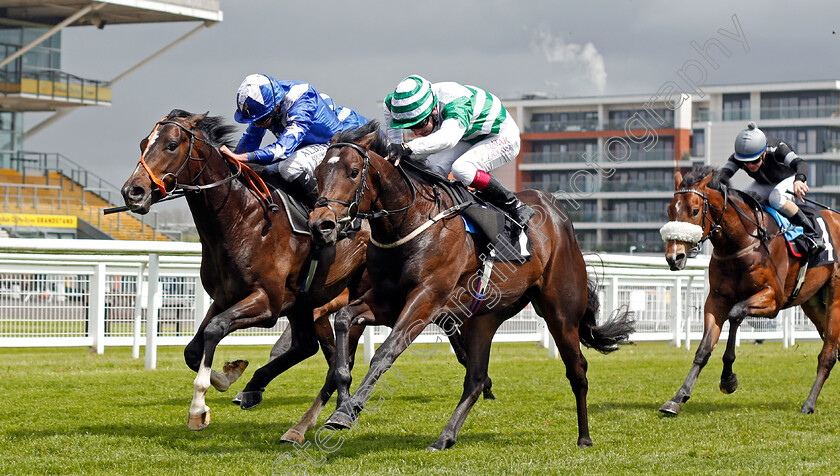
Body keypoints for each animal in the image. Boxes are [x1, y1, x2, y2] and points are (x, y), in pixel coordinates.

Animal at [306, 122, 632, 450]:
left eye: (353, 171)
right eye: (318, 172)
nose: (321, 224)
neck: (411, 221)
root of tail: (558, 214)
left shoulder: (426, 298)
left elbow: (386, 351)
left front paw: (350, 409)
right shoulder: (387, 299)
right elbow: (344, 319)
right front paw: (343, 402)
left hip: (561, 313)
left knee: (577, 371)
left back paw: (584, 437)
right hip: (483, 319)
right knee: (476, 379)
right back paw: (444, 437)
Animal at [660, 167, 840, 416]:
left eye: (695, 211)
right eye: (670, 210)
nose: (674, 257)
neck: (741, 241)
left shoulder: (773, 300)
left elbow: (736, 313)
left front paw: (728, 379)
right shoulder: (716, 300)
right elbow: (704, 348)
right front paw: (678, 397)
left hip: (835, 296)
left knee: (828, 354)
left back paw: (808, 404)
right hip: (812, 301)